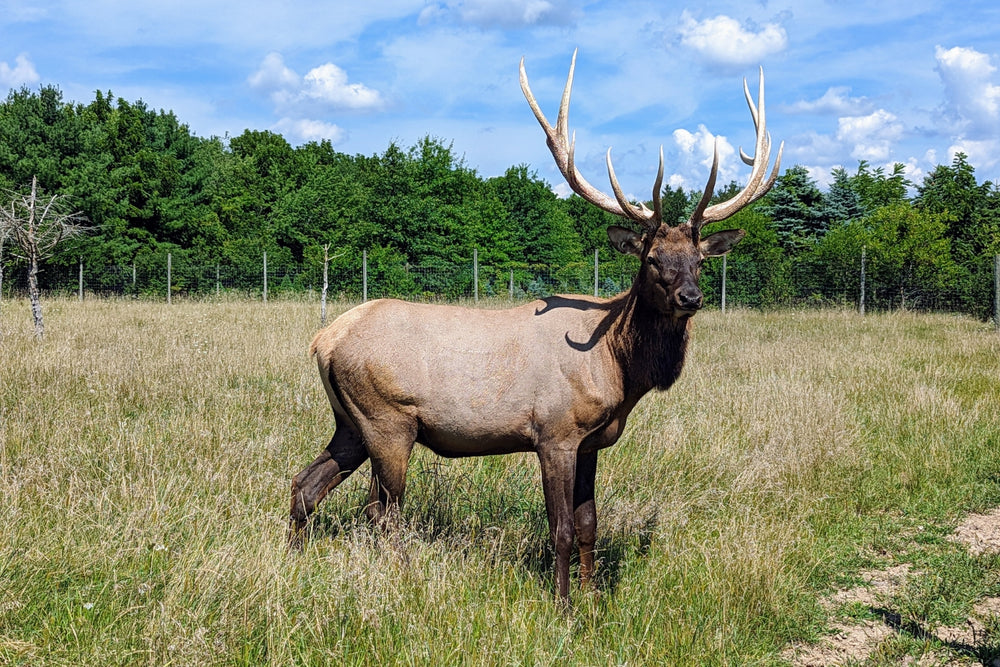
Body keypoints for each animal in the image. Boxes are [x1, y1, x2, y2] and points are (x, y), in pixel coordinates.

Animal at [289, 50, 782, 604]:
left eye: (699, 261)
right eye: (653, 259)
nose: (690, 298)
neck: (617, 367)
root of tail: (323, 341)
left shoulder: (591, 441)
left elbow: (590, 524)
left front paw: (592, 599)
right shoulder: (555, 432)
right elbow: (561, 527)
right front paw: (563, 603)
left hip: (349, 422)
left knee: (305, 485)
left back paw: (292, 560)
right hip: (387, 420)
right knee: (381, 509)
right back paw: (399, 579)